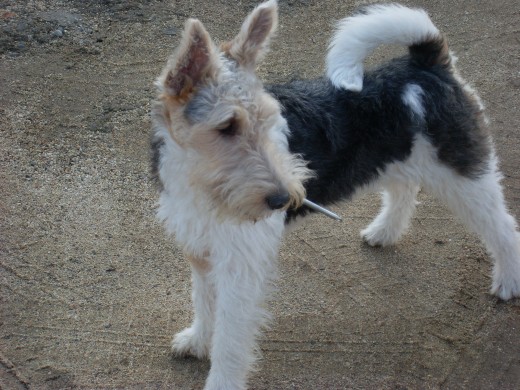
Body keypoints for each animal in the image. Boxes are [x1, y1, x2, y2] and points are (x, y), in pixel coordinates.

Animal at [149, 1, 520, 388]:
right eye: (226, 126)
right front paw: (197, 341)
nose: (284, 199)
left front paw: (221, 378)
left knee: (503, 227)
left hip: (465, 176)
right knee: (403, 191)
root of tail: (426, 64)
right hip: (397, 161)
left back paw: (508, 281)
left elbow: (230, 340)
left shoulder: (240, 266)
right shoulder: (202, 250)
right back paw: (383, 232)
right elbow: (205, 304)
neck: (199, 181)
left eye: (269, 120)